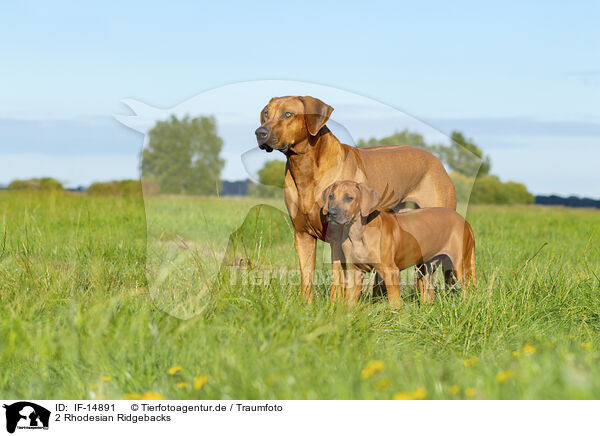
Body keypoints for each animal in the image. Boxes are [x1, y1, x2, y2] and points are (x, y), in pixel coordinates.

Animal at [253, 96, 454, 302]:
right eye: (266, 114)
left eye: (288, 114)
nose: (260, 132)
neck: (305, 168)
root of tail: (438, 162)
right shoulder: (302, 234)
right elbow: (307, 276)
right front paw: (306, 305)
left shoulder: (337, 237)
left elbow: (337, 279)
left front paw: (335, 306)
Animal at [322, 181, 476, 306]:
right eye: (331, 197)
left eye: (349, 198)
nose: (331, 213)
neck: (358, 233)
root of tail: (465, 222)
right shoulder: (355, 272)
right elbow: (350, 302)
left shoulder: (390, 271)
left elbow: (395, 303)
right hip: (426, 268)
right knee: (429, 294)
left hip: (460, 265)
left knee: (468, 290)